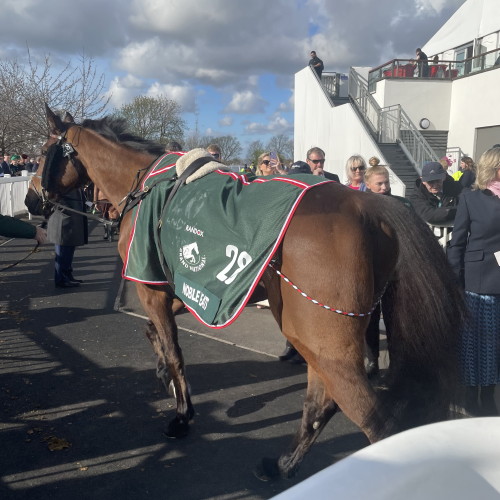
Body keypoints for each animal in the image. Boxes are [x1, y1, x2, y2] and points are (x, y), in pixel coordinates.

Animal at [27, 104, 464, 476]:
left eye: (44, 151)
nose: (32, 200)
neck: (148, 185)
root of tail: (371, 207)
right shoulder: (186, 290)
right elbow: (158, 336)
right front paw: (163, 373)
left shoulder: (154, 290)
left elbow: (174, 350)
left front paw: (181, 413)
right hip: (316, 335)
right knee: (320, 402)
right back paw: (284, 464)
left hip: (321, 336)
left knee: (371, 418)